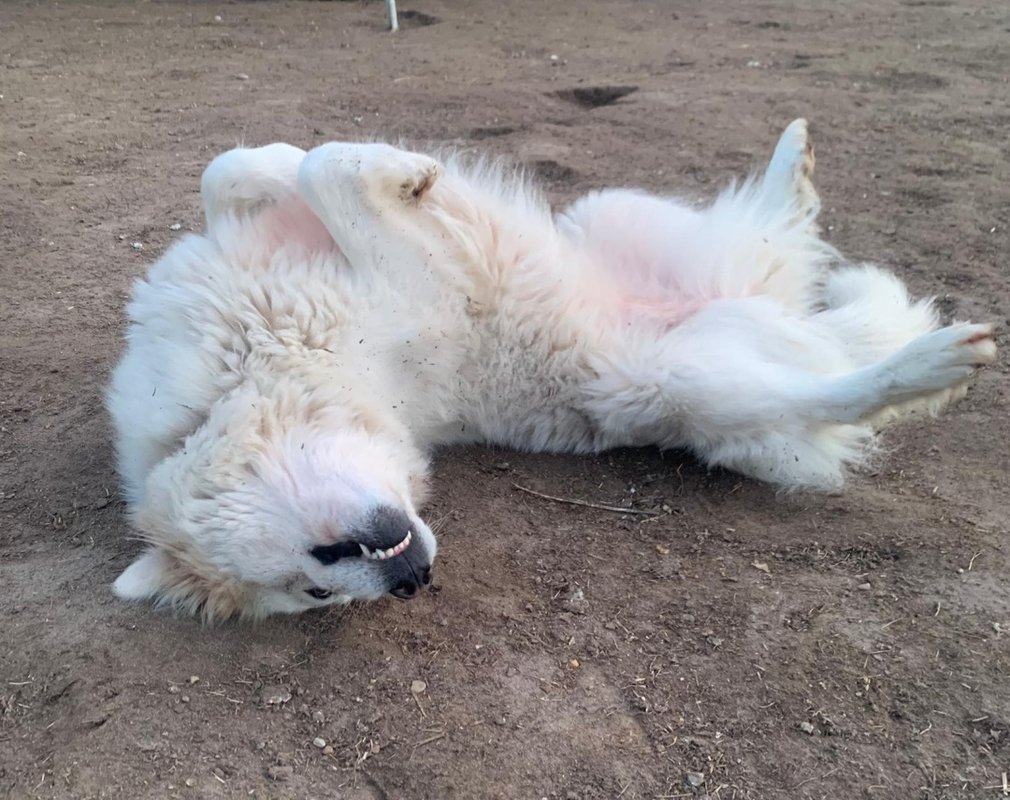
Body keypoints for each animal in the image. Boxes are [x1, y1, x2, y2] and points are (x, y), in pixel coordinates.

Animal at [107, 120, 996, 620]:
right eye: (314, 595)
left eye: (316, 570)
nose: (413, 584)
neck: (261, 361)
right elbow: (313, 170)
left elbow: (265, 165)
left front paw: (395, 170)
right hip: (683, 384)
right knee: (835, 392)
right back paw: (935, 362)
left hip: (619, 216)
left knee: (780, 231)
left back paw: (796, 159)